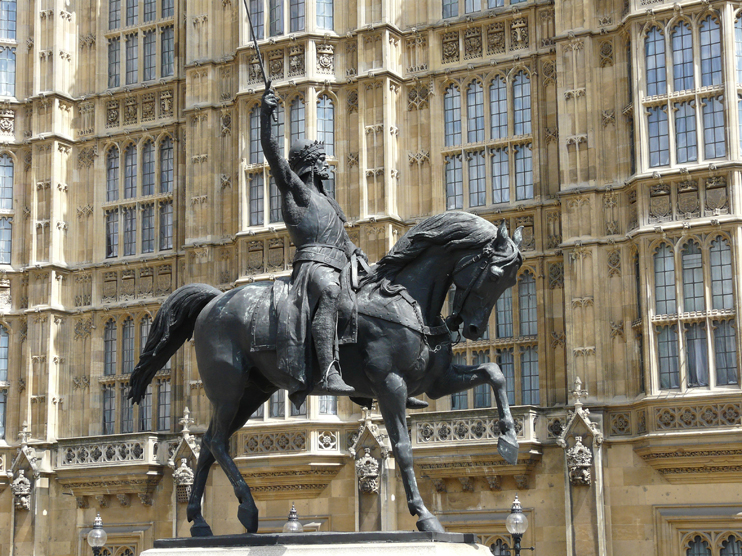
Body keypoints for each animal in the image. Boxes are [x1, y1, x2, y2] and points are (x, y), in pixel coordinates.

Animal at [129, 212, 524, 536]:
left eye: (510, 282)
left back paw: (200, 521)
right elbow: (403, 448)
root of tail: (214, 300)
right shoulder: (390, 386)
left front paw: (509, 440)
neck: (404, 300)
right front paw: (425, 518)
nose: (471, 328)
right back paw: (246, 509)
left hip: (252, 392)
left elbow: (495, 372)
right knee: (214, 442)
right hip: (229, 389)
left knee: (212, 444)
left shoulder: (435, 382)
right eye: (495, 274)